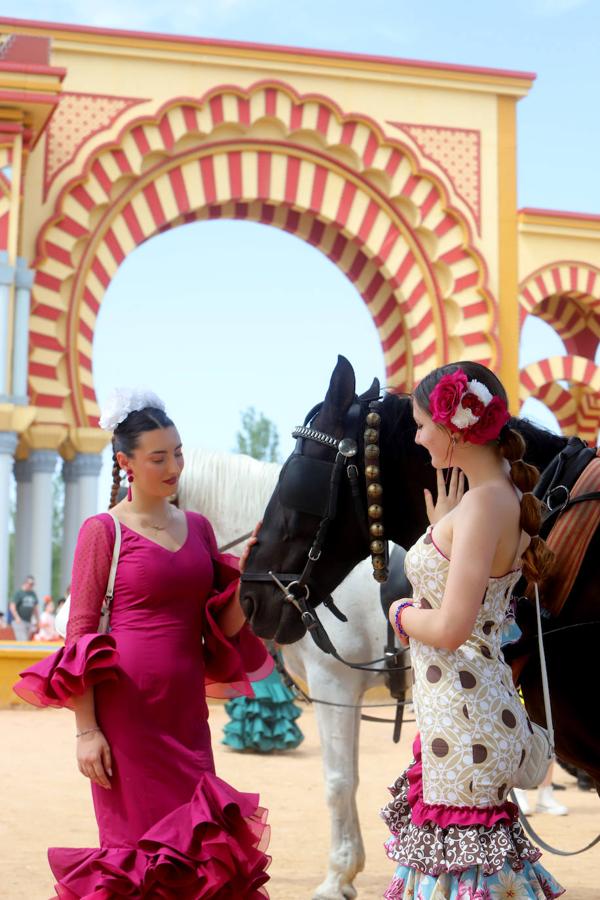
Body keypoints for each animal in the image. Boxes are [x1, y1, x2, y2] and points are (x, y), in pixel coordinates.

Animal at [179, 450, 404, 900]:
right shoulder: (346, 694)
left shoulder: (333, 683)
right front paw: (348, 871)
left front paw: (337, 876)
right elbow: (349, 776)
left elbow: (338, 782)